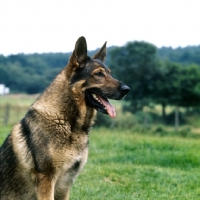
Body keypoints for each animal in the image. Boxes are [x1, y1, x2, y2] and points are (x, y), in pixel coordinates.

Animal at [0, 36, 130, 199]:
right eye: (99, 74)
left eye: (109, 73)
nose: (127, 89)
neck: (67, 122)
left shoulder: (65, 185)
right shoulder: (47, 180)